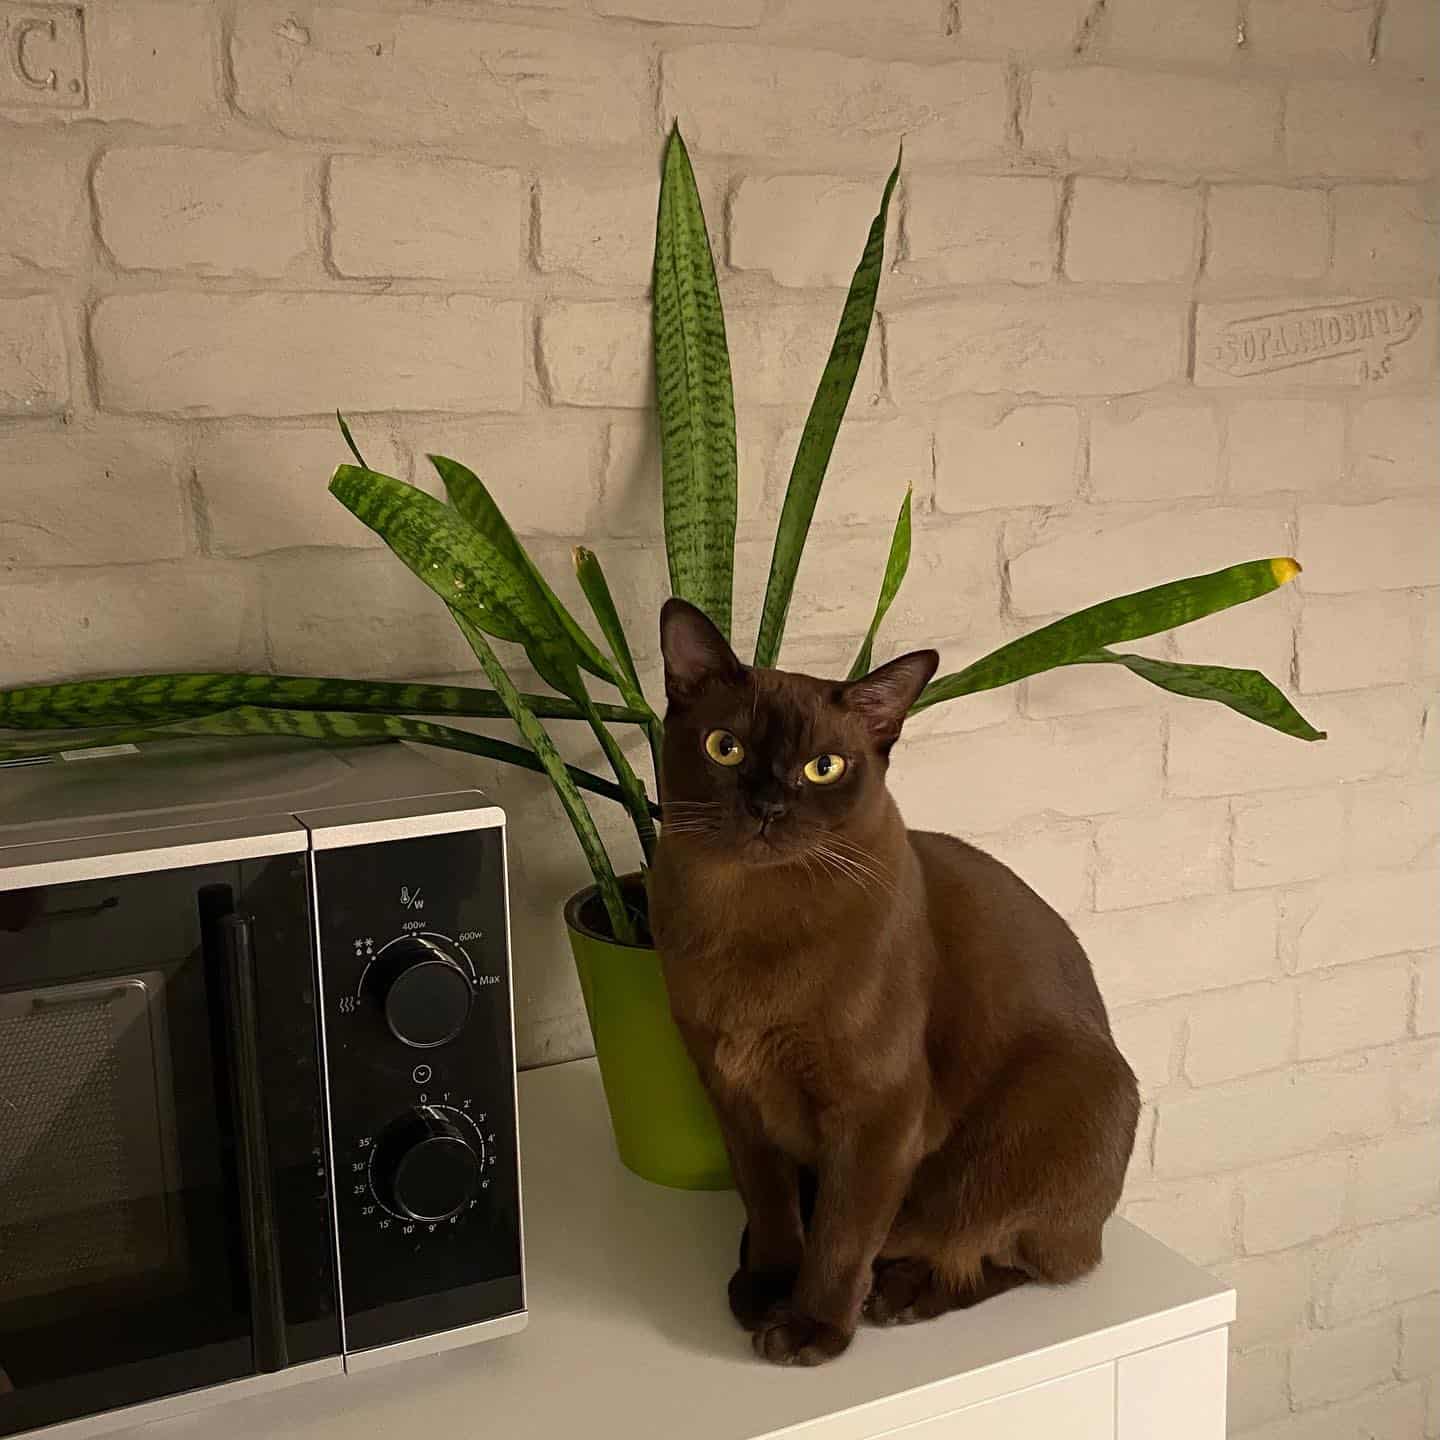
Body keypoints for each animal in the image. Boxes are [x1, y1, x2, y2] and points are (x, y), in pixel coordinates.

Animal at [650, 601, 1134, 1365]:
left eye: (823, 767)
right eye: (725, 748)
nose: (767, 807)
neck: (746, 921)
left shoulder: (877, 1113)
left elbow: (842, 1234)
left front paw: (809, 1329)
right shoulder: (735, 1097)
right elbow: (773, 1207)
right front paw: (767, 1288)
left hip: (1045, 1119)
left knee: (1010, 1255)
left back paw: (895, 1297)